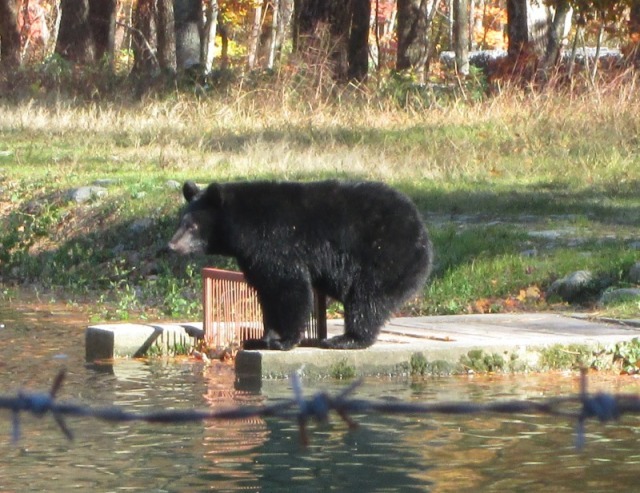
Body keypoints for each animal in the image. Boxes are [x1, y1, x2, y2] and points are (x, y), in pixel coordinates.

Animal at [168, 181, 432, 350]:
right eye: (181, 221)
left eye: (192, 226)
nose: (171, 246)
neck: (244, 227)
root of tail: (421, 228)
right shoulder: (254, 257)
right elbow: (267, 291)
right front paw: (261, 338)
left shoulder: (277, 241)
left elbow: (289, 287)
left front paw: (284, 340)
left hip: (382, 256)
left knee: (367, 299)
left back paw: (345, 339)